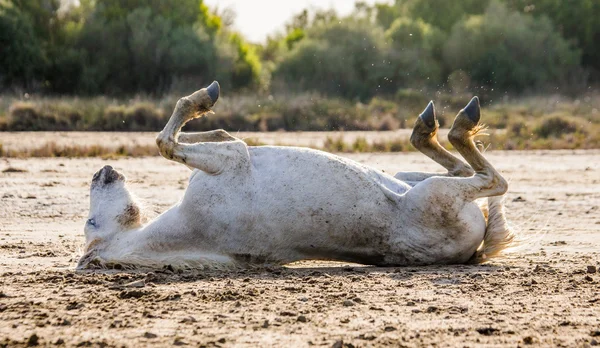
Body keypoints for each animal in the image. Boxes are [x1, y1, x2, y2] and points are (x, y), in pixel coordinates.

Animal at [77, 81, 512, 270]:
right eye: (90, 223)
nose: (101, 172)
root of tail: (472, 250)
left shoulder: (229, 154)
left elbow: (213, 135)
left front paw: (213, 118)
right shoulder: (230, 161)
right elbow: (165, 141)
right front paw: (205, 97)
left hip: (412, 177)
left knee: (460, 166)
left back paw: (428, 125)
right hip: (435, 194)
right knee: (491, 179)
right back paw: (457, 122)